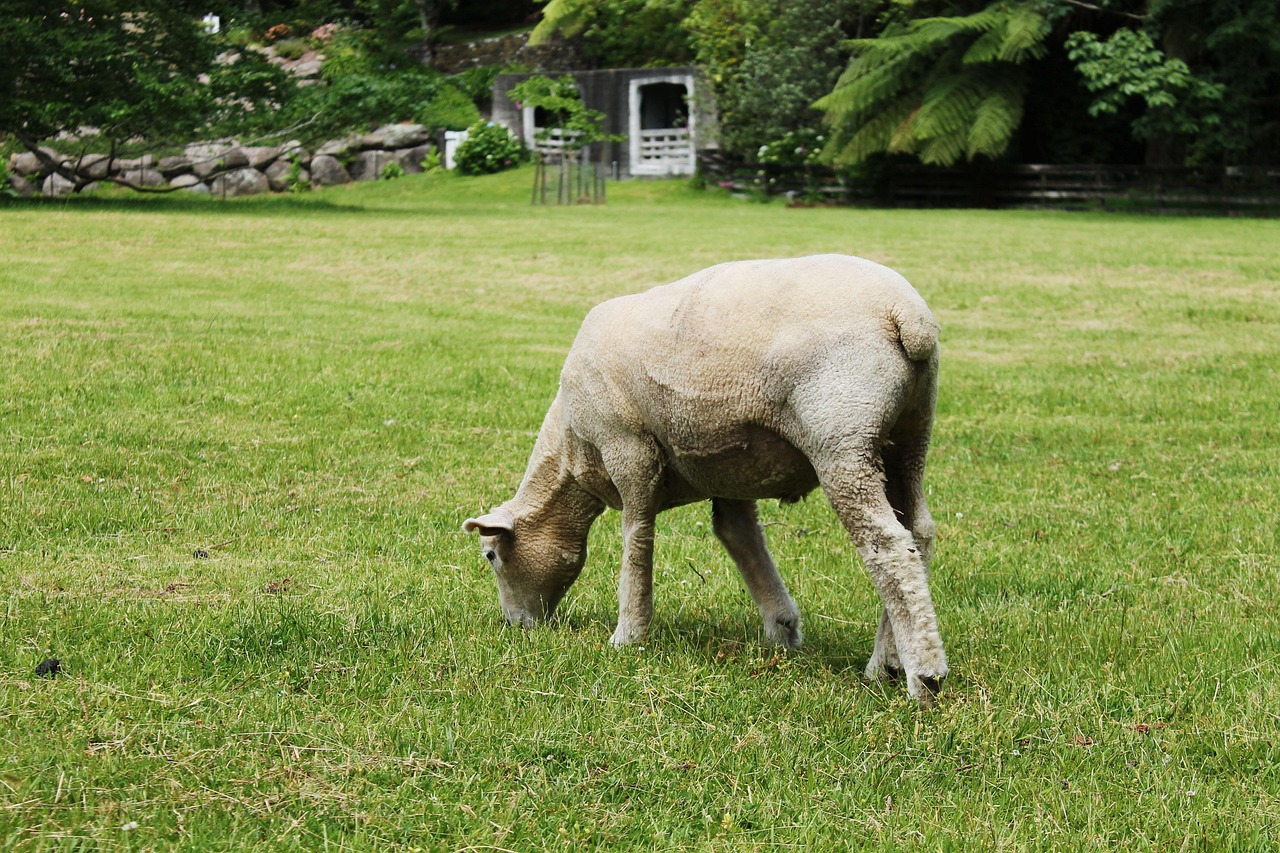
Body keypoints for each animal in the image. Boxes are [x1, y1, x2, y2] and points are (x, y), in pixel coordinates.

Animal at [465, 251, 947, 696]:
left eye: (491, 556)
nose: (517, 626)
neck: (569, 451)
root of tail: (905, 314)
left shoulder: (628, 450)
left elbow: (636, 538)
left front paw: (629, 634)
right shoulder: (733, 471)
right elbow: (738, 537)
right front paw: (782, 630)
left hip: (842, 436)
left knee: (886, 545)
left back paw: (923, 676)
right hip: (908, 436)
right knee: (917, 532)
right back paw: (887, 662)